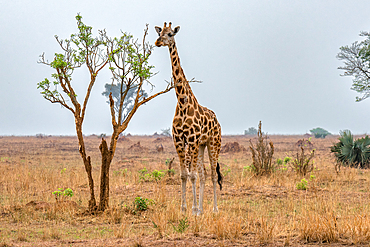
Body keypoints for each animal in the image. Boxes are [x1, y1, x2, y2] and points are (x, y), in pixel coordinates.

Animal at [154, 22, 223, 215]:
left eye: (170, 34)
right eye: (160, 33)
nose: (157, 42)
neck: (182, 102)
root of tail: (217, 121)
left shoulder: (191, 139)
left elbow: (192, 175)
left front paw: (192, 208)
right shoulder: (179, 140)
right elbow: (184, 174)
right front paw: (185, 208)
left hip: (213, 143)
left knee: (212, 174)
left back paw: (214, 209)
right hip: (201, 145)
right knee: (203, 173)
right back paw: (202, 209)